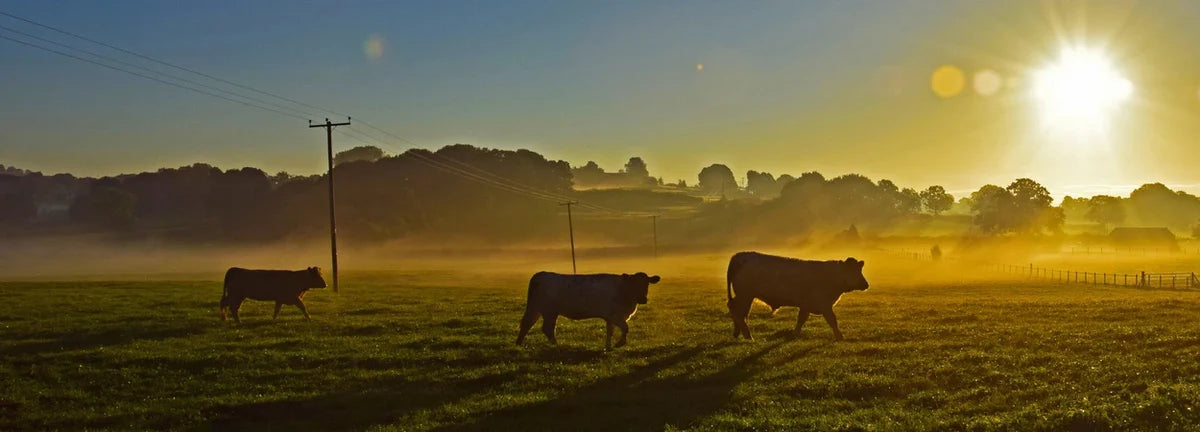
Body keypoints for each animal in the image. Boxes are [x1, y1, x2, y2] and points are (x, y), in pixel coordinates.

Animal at [516, 271, 661, 350]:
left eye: (647, 284)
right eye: (634, 284)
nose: (643, 299)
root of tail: (540, 275)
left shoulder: (610, 317)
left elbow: (610, 331)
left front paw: (608, 347)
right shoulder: (615, 315)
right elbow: (625, 328)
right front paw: (620, 343)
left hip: (536, 309)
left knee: (527, 324)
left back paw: (519, 344)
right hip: (549, 311)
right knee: (547, 328)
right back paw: (556, 345)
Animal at [726, 252, 869, 341]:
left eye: (859, 270)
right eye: (854, 271)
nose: (866, 284)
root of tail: (739, 256)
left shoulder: (806, 305)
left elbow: (801, 320)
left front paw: (794, 335)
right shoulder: (824, 305)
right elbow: (832, 320)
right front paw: (840, 337)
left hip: (744, 297)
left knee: (736, 310)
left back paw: (737, 333)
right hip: (745, 296)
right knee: (739, 313)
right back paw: (749, 336)